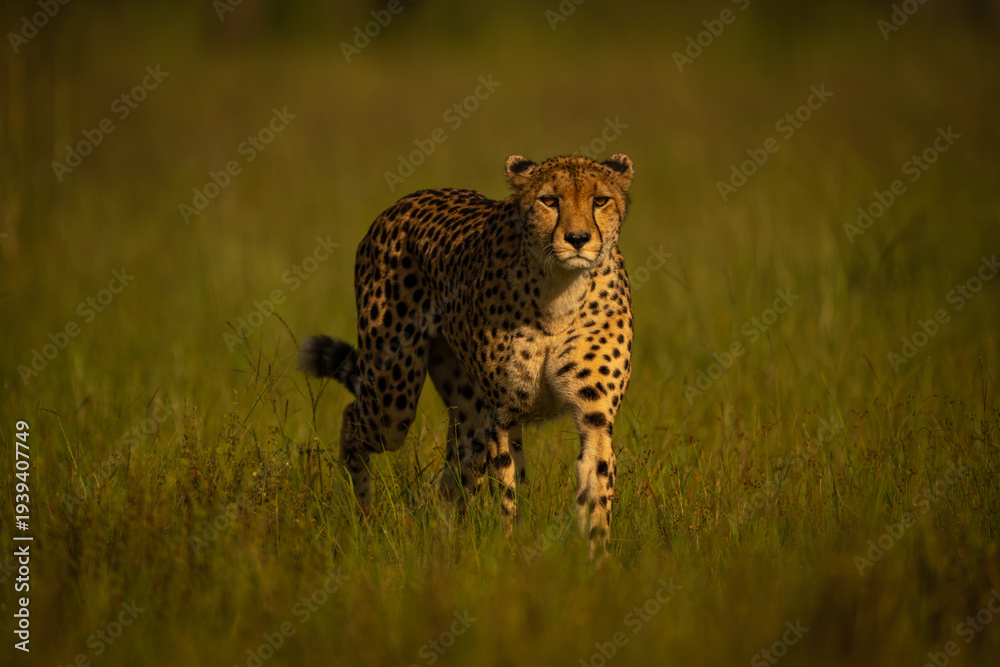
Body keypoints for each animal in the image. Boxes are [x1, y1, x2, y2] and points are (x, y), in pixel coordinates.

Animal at [299, 153, 634, 559]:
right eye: (549, 200)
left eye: (600, 200)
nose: (578, 239)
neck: (559, 290)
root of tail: (411, 198)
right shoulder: (502, 413)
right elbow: (507, 489)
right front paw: (509, 550)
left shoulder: (594, 415)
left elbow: (596, 485)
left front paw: (597, 560)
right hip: (394, 400)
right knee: (354, 418)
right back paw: (364, 515)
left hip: (467, 415)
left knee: (451, 476)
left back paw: (444, 540)